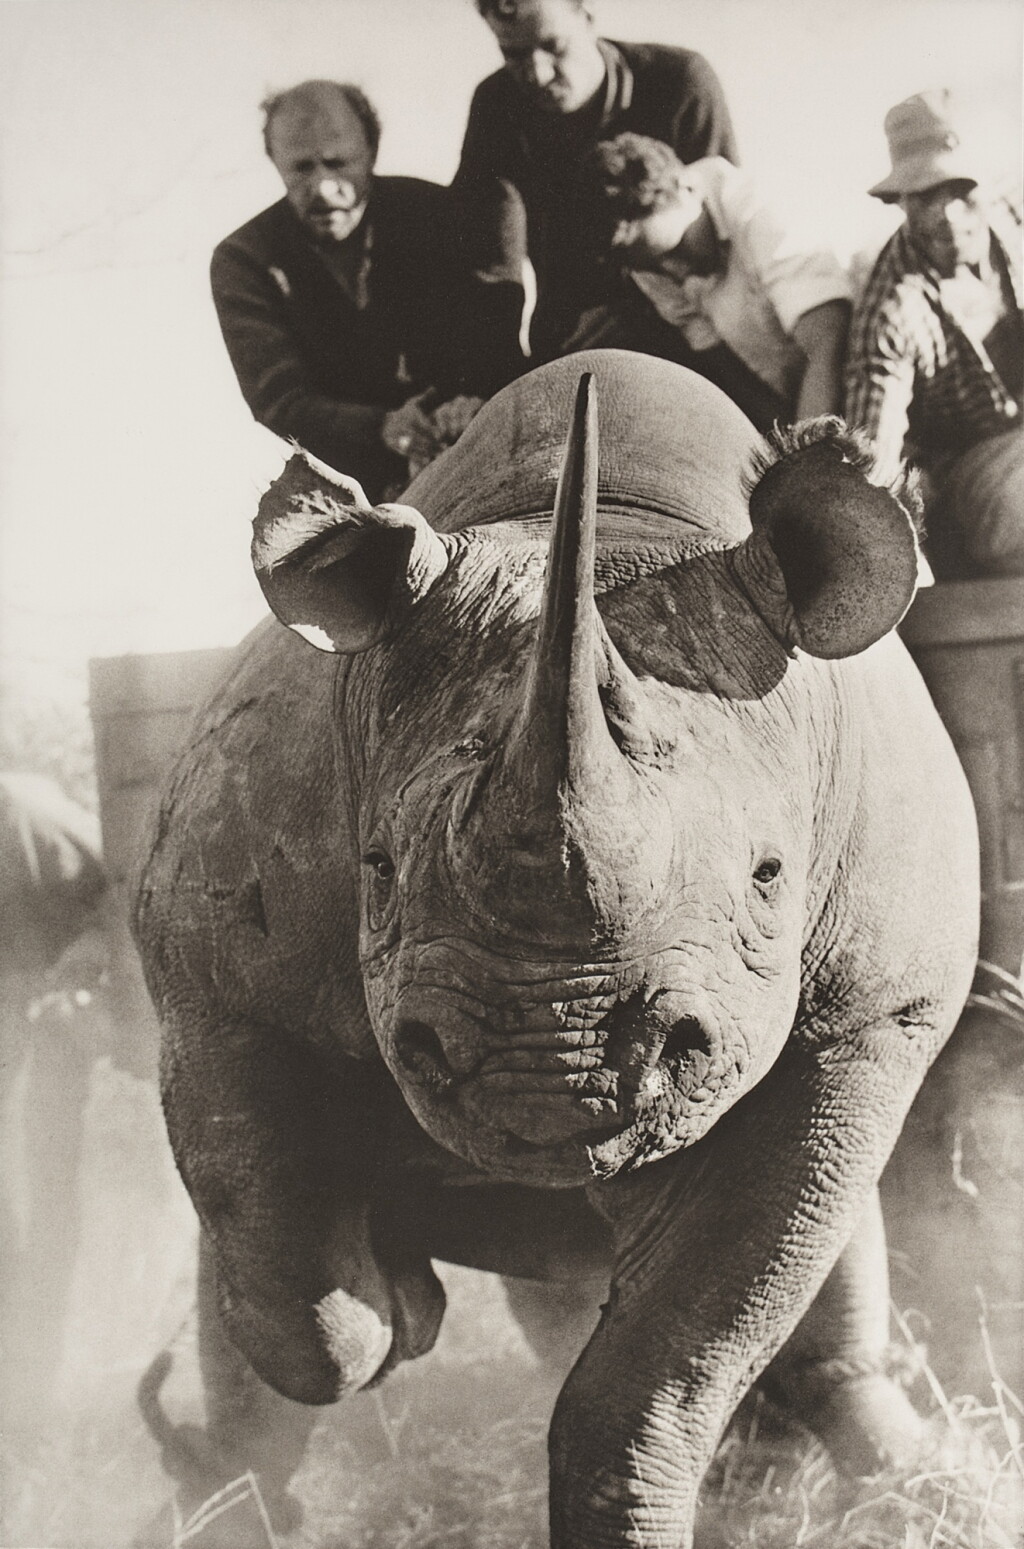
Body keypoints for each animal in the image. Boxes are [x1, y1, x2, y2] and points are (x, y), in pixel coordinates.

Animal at [134, 349, 978, 1548]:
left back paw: (920, 1481)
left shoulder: (868, 1020)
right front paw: (402, 1305)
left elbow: (674, 1361)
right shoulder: (212, 974)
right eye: (376, 868)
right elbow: (283, 1271)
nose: (546, 1069)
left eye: (770, 875)